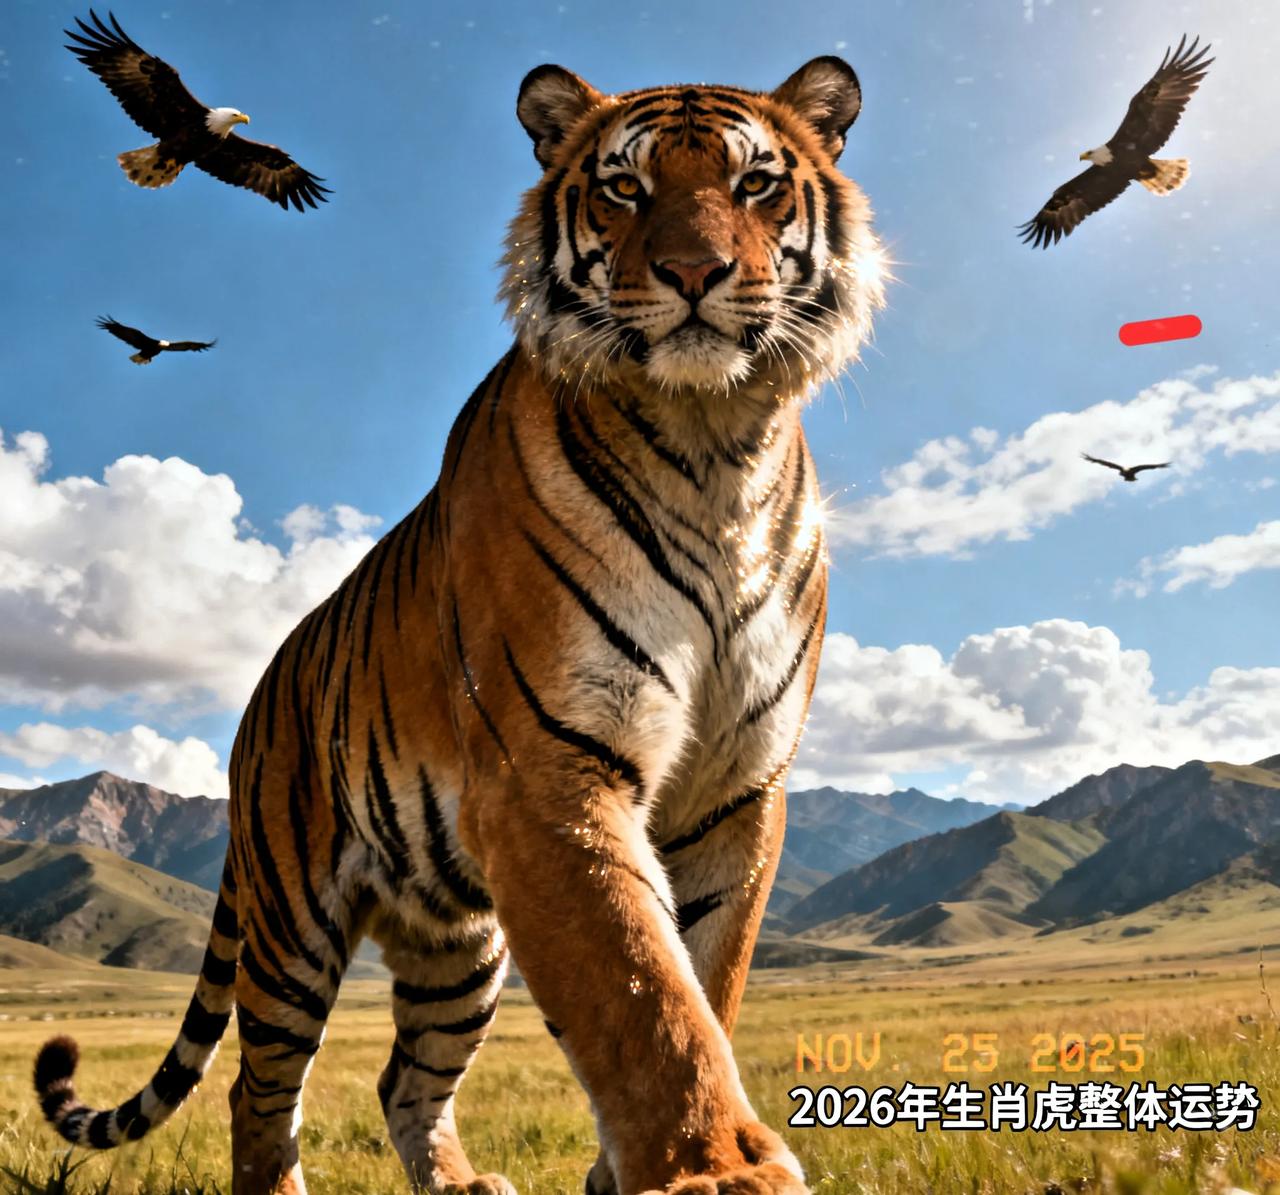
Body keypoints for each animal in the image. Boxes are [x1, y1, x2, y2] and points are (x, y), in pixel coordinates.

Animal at [34, 55, 884, 1195]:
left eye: (755, 185)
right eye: (624, 189)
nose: (694, 272)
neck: (715, 444)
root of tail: (256, 703)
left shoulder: (735, 793)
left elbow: (704, 979)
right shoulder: (551, 772)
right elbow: (641, 989)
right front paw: (712, 1169)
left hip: (457, 947)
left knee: (405, 1077)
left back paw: (462, 1183)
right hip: (291, 927)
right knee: (257, 1089)